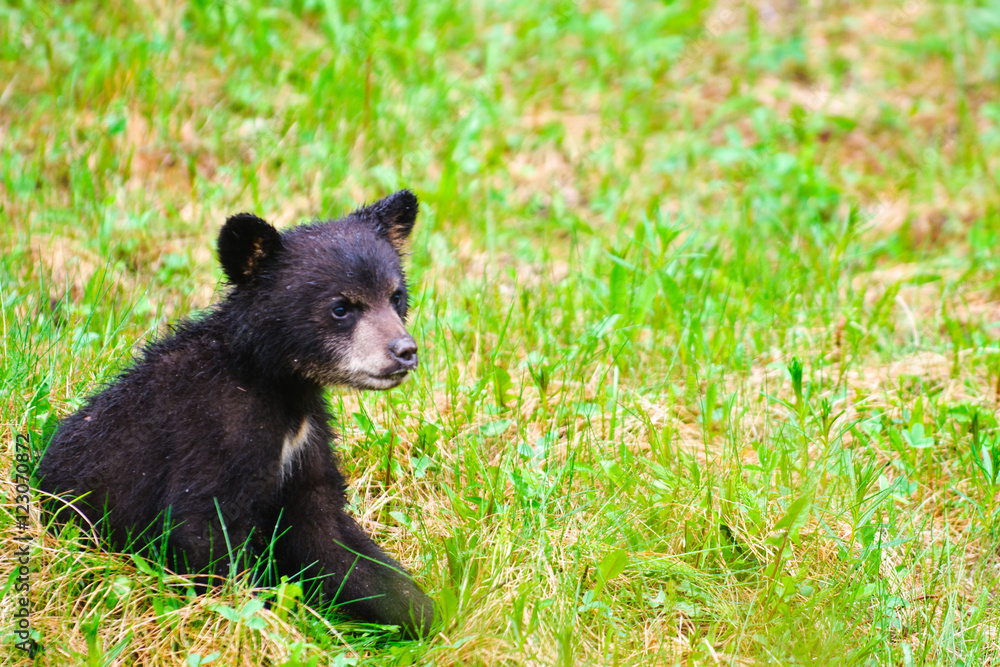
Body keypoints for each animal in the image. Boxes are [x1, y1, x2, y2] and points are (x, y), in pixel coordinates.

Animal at [35, 190, 435, 638]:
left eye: (396, 296)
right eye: (341, 307)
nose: (404, 351)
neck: (275, 384)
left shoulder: (307, 439)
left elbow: (327, 534)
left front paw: (427, 613)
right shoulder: (215, 430)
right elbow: (203, 530)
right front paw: (262, 626)